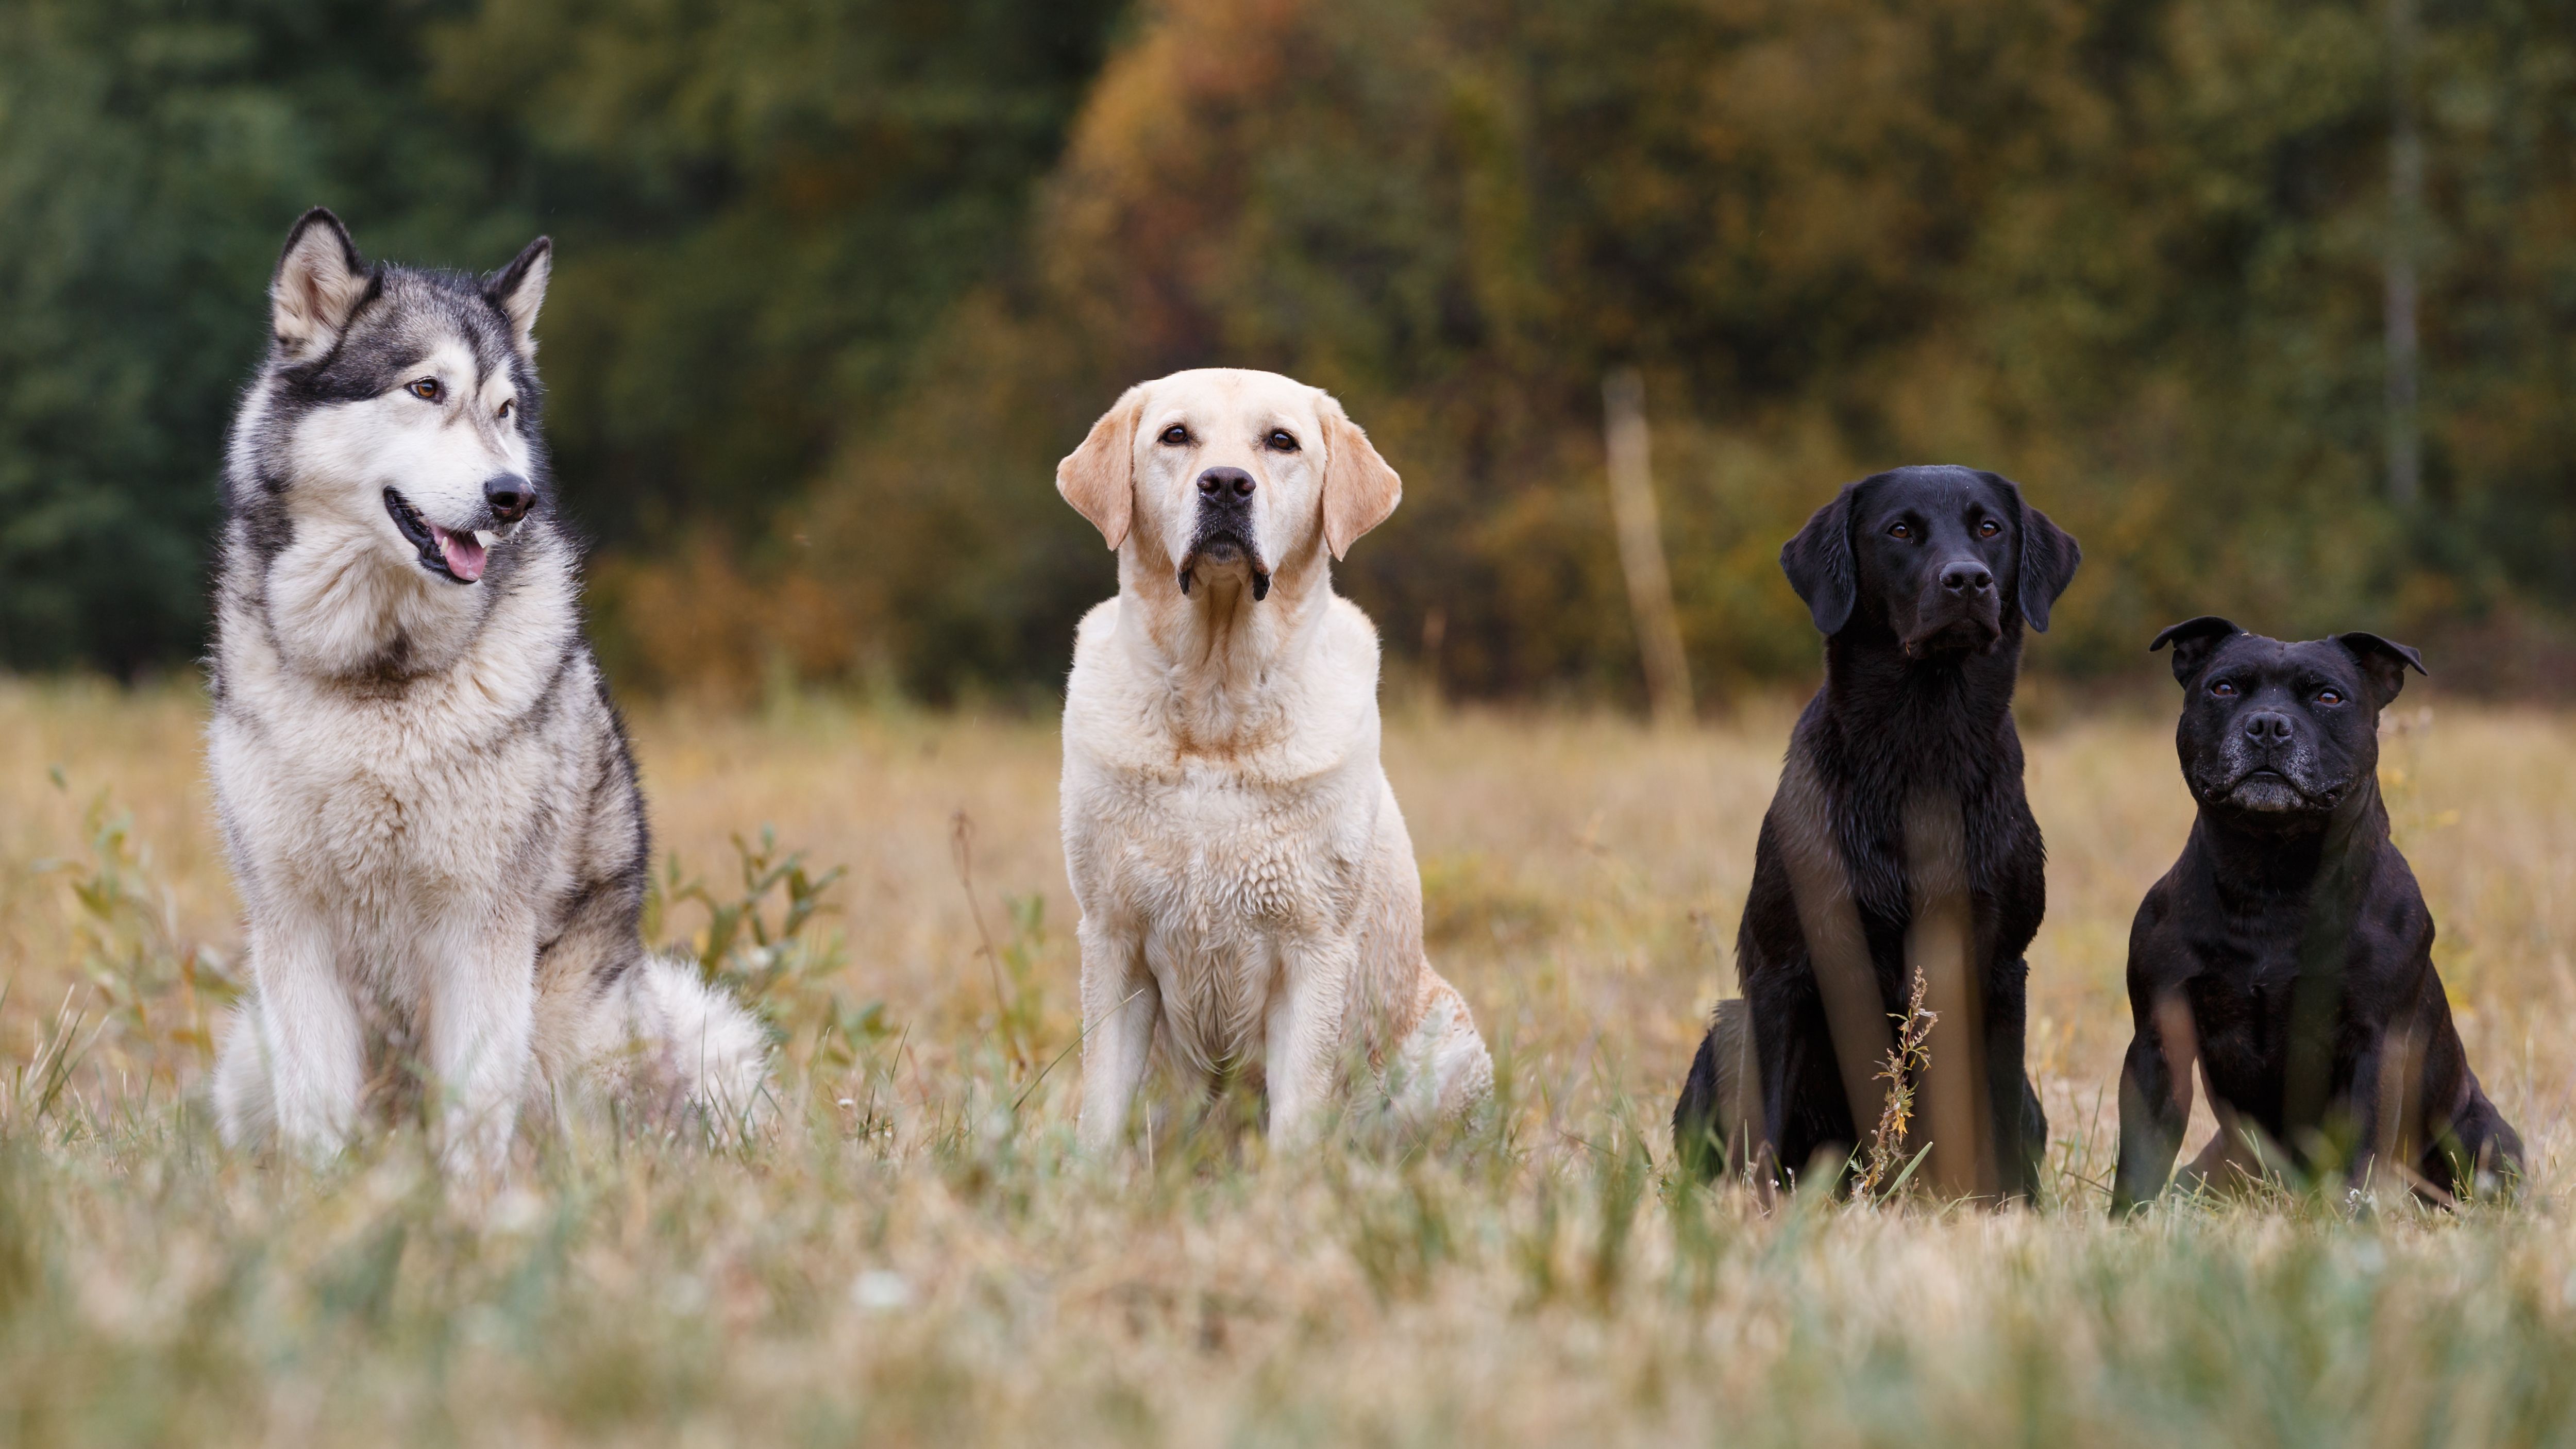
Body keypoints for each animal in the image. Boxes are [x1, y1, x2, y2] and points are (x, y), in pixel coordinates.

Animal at [206, 212, 767, 1168]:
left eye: (505, 411)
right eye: (425, 388)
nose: (513, 496)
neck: (380, 679)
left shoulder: (480, 929)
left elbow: (473, 1118)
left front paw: (472, 1202)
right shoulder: (294, 931)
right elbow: (317, 1119)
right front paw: (323, 1200)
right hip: (250, 1049)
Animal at [1046, 368, 1494, 1153]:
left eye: (1280, 442)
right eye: (1175, 435)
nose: (1226, 484)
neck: (1215, 704)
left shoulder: (1312, 948)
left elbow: (1297, 1115)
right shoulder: (1113, 940)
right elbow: (1101, 1110)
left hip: (1451, 1048)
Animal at [1679, 468, 2081, 1204]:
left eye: (1990, 528)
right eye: (1899, 530)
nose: (1968, 579)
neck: (1921, 749)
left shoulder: (2003, 966)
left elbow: (1996, 1114)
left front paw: (2008, 1210)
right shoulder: (1784, 969)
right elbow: (1765, 1122)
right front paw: (1759, 1211)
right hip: (1724, 1031)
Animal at [2112, 617, 2514, 1209]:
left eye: (2328, 696)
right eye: (2223, 688)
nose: (2268, 725)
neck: (2271, 877)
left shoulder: (2373, 1046)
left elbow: (2360, 1158)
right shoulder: (2158, 1043)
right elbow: (2139, 1160)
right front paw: (2124, 1221)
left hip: (2483, 1143)